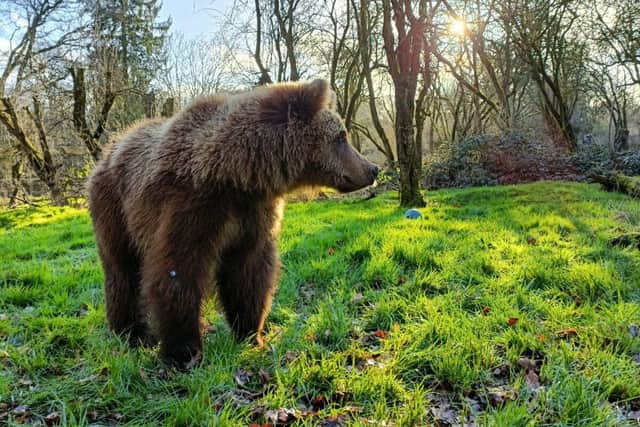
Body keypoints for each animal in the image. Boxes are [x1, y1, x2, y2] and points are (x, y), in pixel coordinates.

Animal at [87, 79, 379, 368]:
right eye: (341, 136)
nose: (372, 169)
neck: (236, 176)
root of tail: (108, 151)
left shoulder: (252, 218)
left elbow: (249, 273)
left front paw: (252, 334)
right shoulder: (192, 208)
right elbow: (177, 271)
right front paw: (184, 351)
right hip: (115, 208)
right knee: (121, 268)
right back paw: (131, 332)